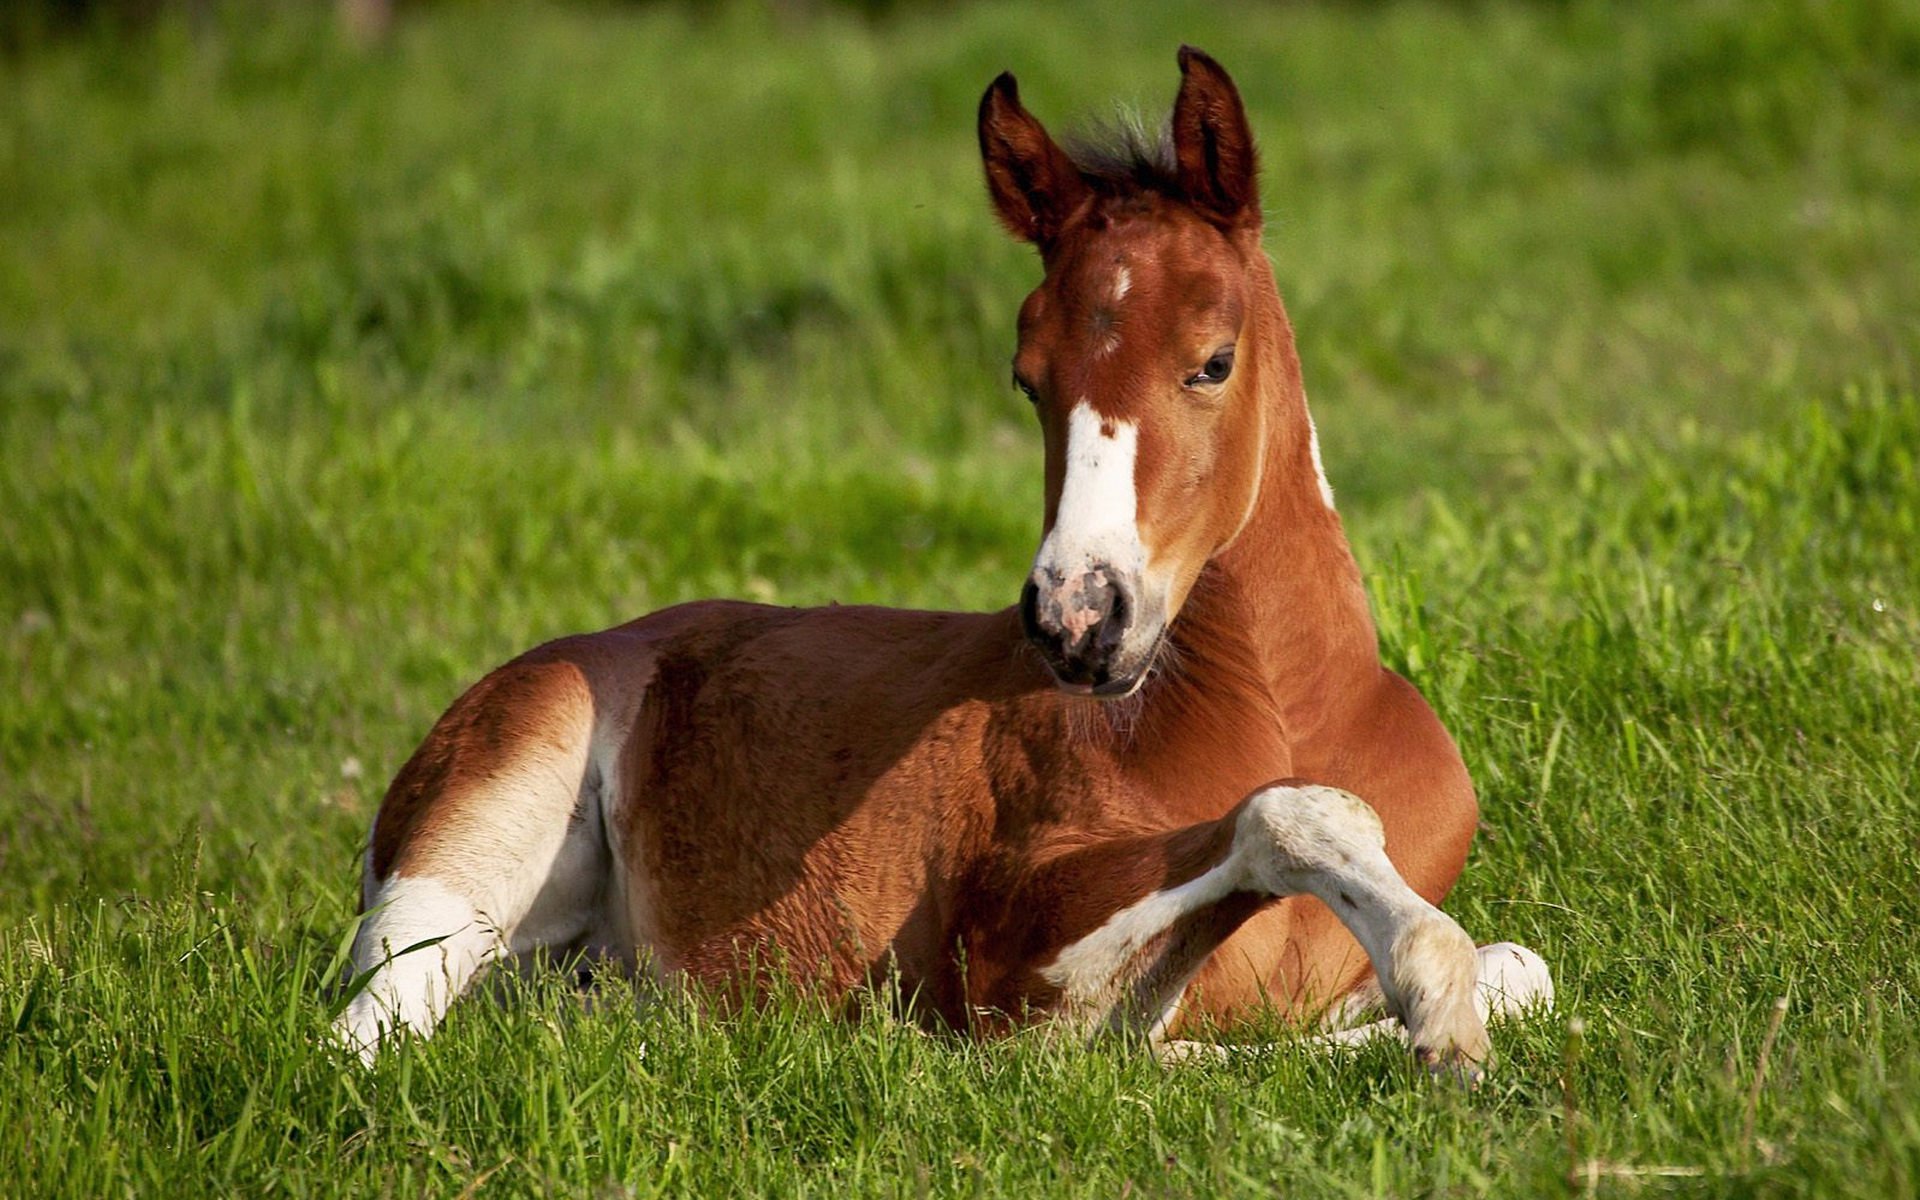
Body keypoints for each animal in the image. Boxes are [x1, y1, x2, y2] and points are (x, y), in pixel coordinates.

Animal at [334, 47, 1551, 1073]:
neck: (1289, 711)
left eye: (1213, 360)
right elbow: (1278, 834)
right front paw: (1434, 1004)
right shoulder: (1002, 954)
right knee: (366, 1034)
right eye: (1027, 378)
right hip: (477, 832)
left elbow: (1524, 969)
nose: (1077, 618)